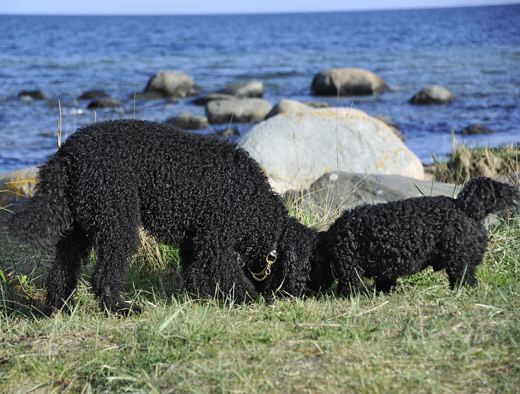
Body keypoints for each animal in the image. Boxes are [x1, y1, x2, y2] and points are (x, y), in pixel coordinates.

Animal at [10, 118, 314, 316]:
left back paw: (56, 307)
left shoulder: (195, 240)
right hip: (116, 218)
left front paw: (201, 298)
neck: (254, 205)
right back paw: (119, 308)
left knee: (63, 267)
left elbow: (193, 272)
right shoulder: (214, 240)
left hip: (79, 225)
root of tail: (65, 154)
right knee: (103, 274)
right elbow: (229, 273)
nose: (304, 295)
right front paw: (249, 298)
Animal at [308, 177, 520, 298]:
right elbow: (384, 284)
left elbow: (349, 289)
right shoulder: (385, 271)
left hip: (460, 262)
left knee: (465, 281)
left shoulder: (350, 269)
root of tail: (467, 208)